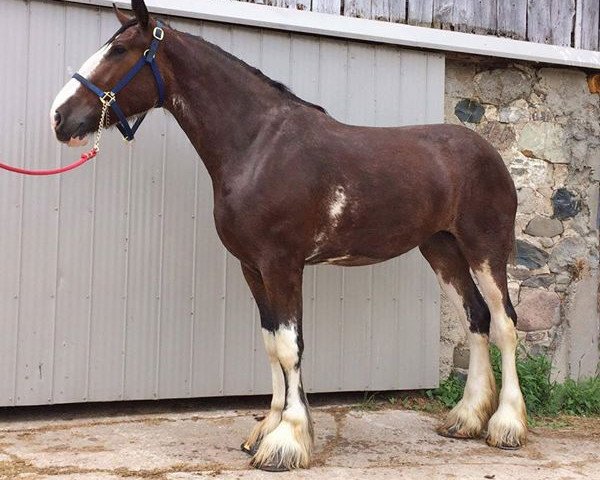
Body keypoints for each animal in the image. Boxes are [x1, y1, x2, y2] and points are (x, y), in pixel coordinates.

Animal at [51, 0, 528, 472]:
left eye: (120, 50)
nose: (59, 116)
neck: (259, 148)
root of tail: (487, 152)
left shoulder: (282, 264)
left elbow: (289, 346)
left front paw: (287, 441)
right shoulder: (252, 267)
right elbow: (270, 344)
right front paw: (268, 428)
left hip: (485, 249)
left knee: (504, 322)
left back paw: (506, 426)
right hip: (442, 249)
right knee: (476, 318)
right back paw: (466, 418)